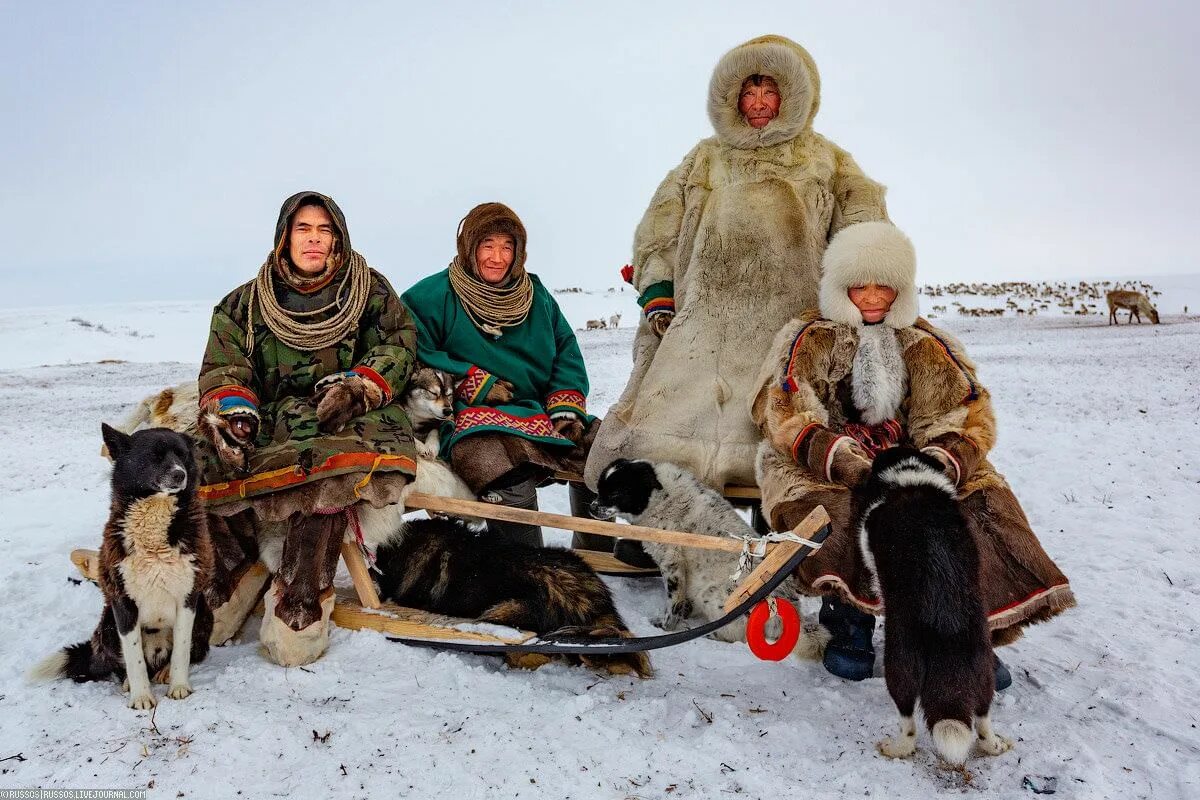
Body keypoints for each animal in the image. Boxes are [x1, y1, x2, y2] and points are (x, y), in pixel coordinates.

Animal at [31, 424, 216, 705]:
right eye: (154, 456)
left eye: (182, 455)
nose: (180, 474)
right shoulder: (122, 602)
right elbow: (133, 658)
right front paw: (141, 697)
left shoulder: (188, 598)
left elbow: (182, 652)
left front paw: (179, 685)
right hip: (108, 623)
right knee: (122, 665)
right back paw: (129, 681)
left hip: (205, 613)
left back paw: (164, 672)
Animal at [854, 448, 1012, 767]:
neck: (912, 477)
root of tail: (945, 624)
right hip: (983, 669)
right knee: (983, 717)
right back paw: (994, 745)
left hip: (900, 665)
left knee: (908, 722)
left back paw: (896, 747)